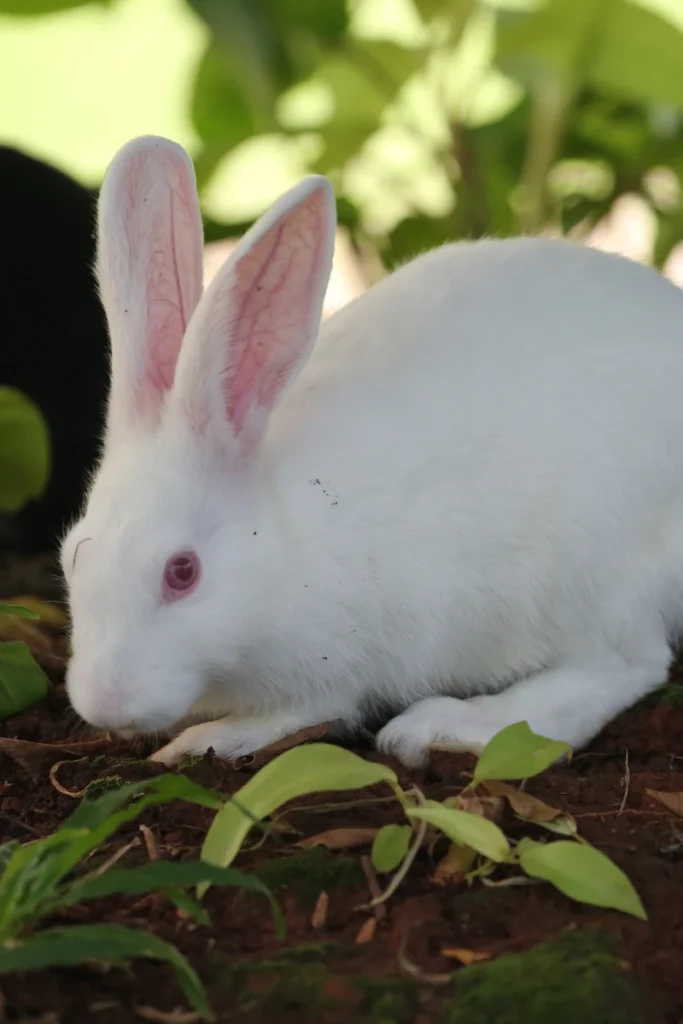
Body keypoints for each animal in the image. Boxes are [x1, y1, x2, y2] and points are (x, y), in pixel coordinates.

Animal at [60, 133, 683, 768]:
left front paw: (203, 741)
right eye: (72, 554)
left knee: (621, 669)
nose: (104, 703)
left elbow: (295, 716)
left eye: (182, 572)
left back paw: (443, 726)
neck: (280, 540)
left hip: (590, 570)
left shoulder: (328, 668)